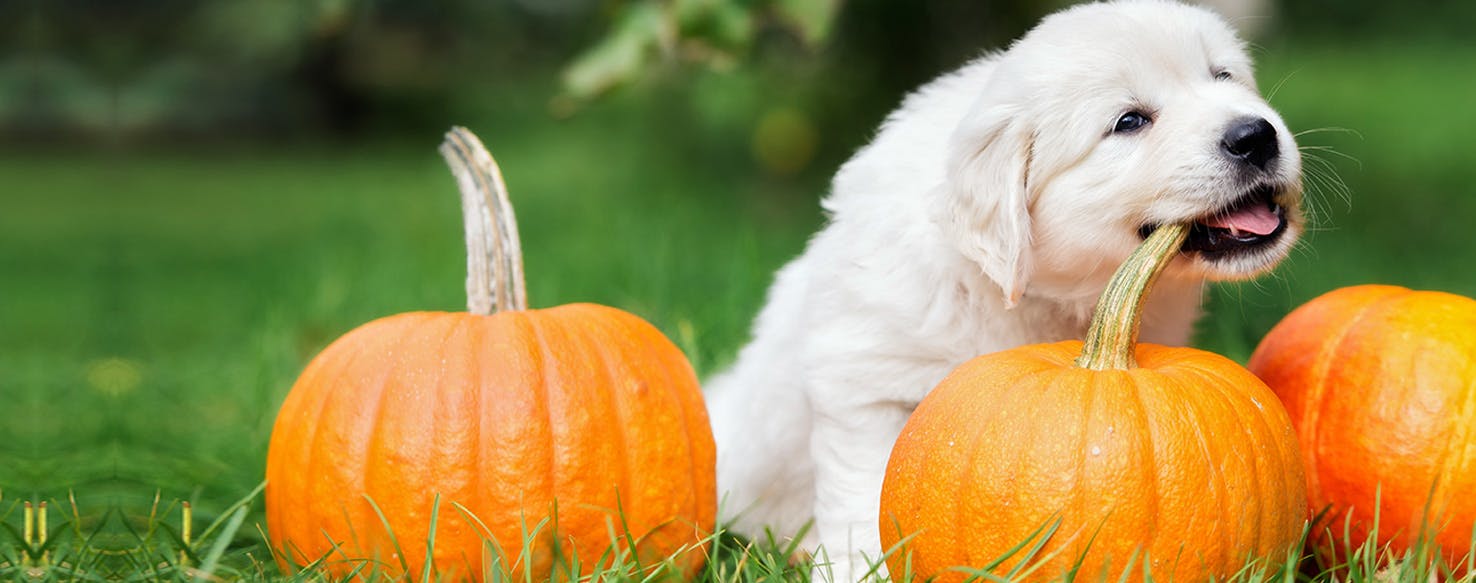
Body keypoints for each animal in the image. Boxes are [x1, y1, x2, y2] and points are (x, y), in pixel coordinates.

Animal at [702, 2, 1304, 581]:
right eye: (1129, 122)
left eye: (1224, 76)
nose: (1256, 135)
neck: (1048, 298)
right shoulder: (863, 380)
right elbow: (862, 494)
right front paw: (862, 570)